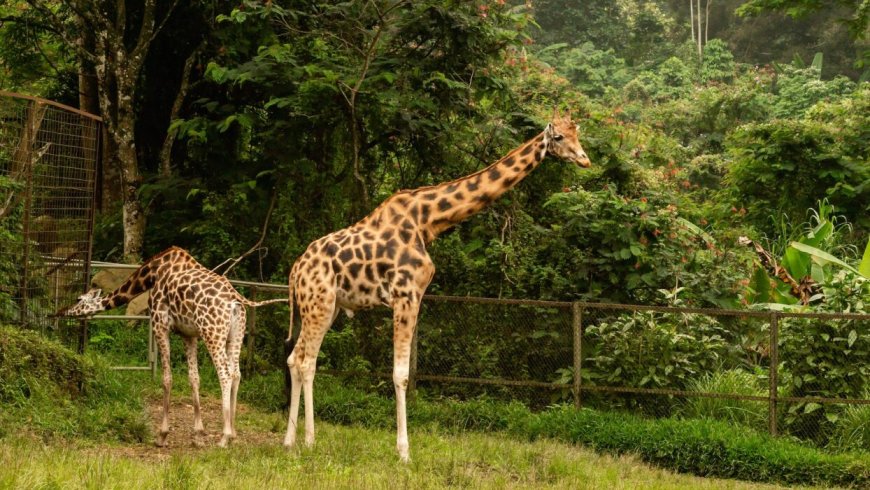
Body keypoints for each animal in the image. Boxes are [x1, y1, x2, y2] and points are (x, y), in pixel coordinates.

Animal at [58, 247, 290, 450]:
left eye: (78, 300)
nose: (63, 312)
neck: (151, 275)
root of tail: (236, 299)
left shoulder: (159, 324)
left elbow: (167, 378)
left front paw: (162, 435)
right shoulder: (189, 334)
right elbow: (194, 378)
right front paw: (198, 436)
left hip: (212, 332)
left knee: (224, 373)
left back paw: (224, 438)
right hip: (236, 334)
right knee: (236, 373)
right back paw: (232, 433)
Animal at [284, 110, 592, 460]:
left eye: (578, 133)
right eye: (559, 137)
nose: (585, 159)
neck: (428, 221)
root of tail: (295, 271)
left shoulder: (412, 296)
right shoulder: (406, 294)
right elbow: (401, 375)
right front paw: (404, 452)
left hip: (326, 306)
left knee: (294, 358)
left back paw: (289, 440)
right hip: (319, 304)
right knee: (307, 362)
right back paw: (310, 440)